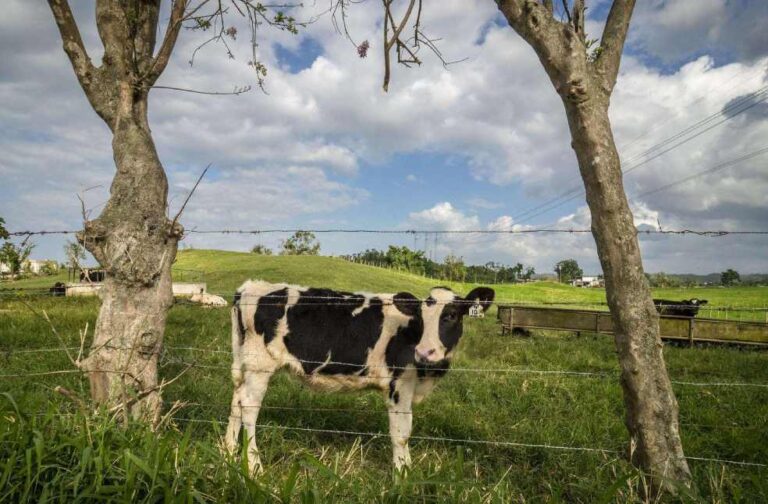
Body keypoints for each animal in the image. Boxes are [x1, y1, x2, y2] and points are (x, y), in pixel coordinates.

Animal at [225, 280, 496, 472]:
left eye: (451, 315)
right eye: (420, 317)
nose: (425, 352)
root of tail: (250, 286)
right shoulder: (400, 385)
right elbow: (401, 433)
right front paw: (403, 475)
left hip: (245, 363)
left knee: (236, 400)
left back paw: (228, 450)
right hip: (260, 365)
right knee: (248, 406)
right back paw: (254, 466)